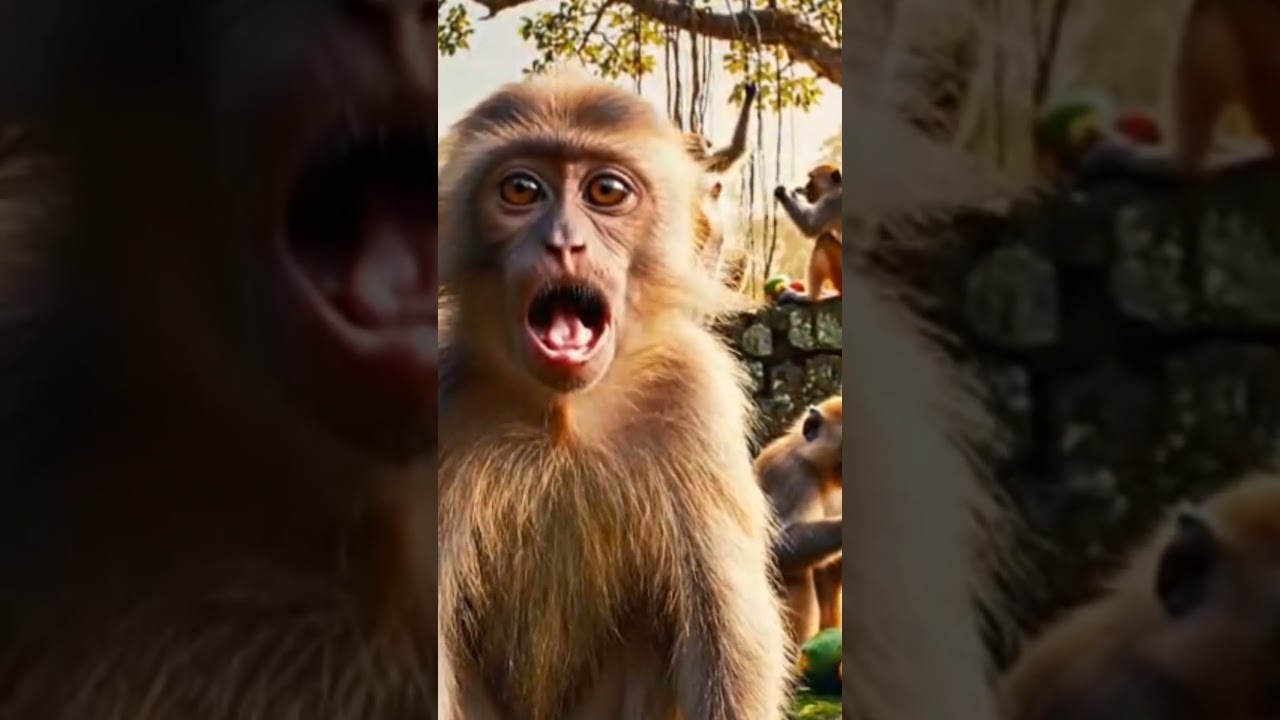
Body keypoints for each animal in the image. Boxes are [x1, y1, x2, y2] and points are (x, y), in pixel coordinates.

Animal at [435, 73, 789, 720]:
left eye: (606, 191)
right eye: (522, 189)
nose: (564, 243)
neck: (565, 417)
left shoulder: (693, 395)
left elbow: (726, 638)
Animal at [774, 164, 843, 301]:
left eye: (811, 180)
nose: (805, 187)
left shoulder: (832, 201)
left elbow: (810, 227)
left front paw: (783, 194)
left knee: (824, 239)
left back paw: (810, 297)